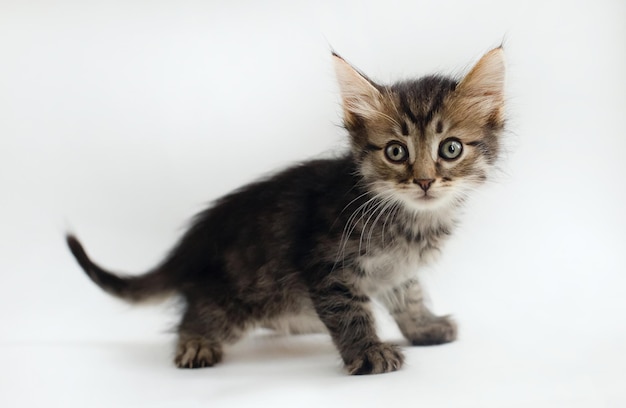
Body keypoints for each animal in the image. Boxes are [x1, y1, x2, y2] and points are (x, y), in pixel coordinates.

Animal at [67, 46, 502, 374]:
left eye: (450, 148)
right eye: (396, 152)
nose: (425, 181)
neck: (410, 218)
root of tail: (192, 243)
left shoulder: (396, 270)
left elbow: (409, 295)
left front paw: (424, 327)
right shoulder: (325, 263)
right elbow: (350, 311)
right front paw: (368, 352)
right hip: (236, 296)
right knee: (197, 314)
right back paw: (195, 344)